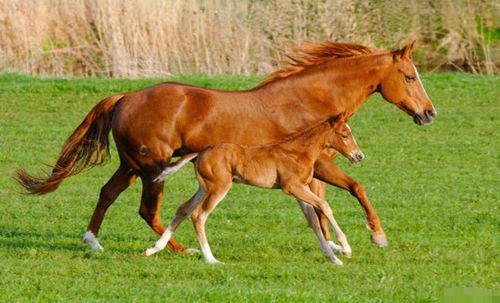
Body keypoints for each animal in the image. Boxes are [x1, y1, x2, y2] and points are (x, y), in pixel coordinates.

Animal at [145, 114, 364, 266]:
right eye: (345, 135)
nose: (359, 156)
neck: (298, 151)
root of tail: (201, 152)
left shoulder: (299, 190)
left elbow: (313, 221)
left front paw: (333, 258)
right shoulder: (292, 187)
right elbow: (324, 205)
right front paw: (345, 248)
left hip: (204, 187)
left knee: (183, 209)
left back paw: (153, 249)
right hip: (219, 188)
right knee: (199, 215)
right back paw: (211, 259)